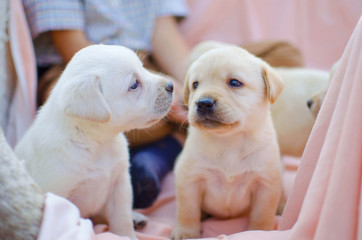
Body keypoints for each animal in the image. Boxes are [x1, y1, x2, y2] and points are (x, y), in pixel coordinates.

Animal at [16, 44, 175, 239]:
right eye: (134, 84)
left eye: (143, 67)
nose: (171, 86)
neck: (98, 142)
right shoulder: (58, 194)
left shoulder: (120, 184)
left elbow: (121, 218)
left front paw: (127, 234)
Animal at [173, 46, 286, 239]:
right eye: (195, 85)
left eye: (234, 83)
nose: (203, 103)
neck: (229, 140)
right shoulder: (189, 179)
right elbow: (188, 210)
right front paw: (185, 232)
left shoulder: (265, 184)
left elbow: (262, 213)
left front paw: (259, 231)